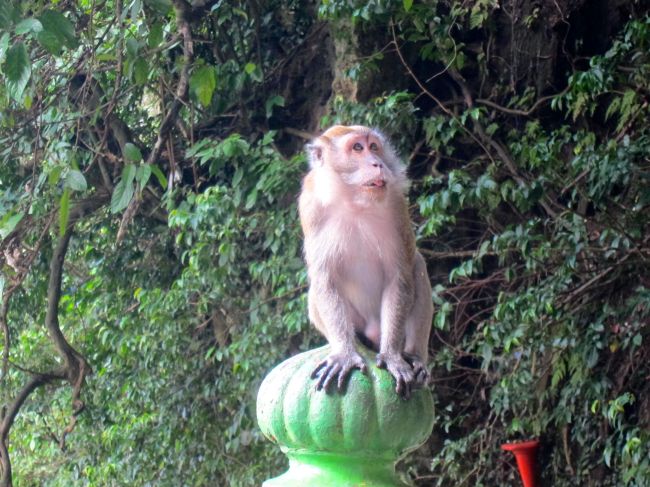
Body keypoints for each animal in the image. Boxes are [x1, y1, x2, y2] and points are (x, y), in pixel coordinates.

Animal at [298, 125, 433, 398]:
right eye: (357, 148)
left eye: (374, 147)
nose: (377, 163)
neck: (355, 203)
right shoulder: (311, 207)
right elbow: (325, 280)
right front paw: (344, 354)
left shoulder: (396, 207)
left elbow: (399, 277)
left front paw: (391, 357)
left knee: (417, 264)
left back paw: (414, 358)